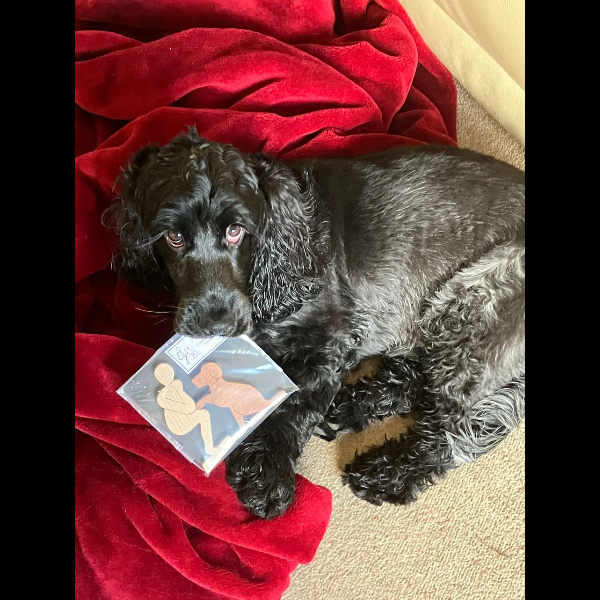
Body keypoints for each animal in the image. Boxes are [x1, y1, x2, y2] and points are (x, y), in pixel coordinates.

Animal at [106, 126, 525, 519]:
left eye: (236, 231)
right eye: (173, 236)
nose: (215, 325)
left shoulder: (328, 338)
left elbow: (291, 402)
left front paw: (266, 473)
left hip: (474, 303)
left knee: (450, 426)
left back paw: (385, 473)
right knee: (417, 380)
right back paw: (351, 405)